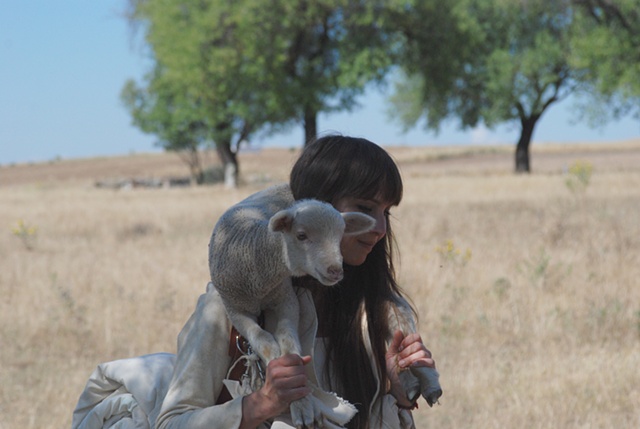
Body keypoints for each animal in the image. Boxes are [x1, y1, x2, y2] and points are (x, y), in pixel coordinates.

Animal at [208, 182, 378, 426]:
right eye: (301, 235)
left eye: (341, 236)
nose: (335, 271)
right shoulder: (235, 309)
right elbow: (264, 340)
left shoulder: (286, 298)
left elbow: (287, 339)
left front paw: (303, 406)